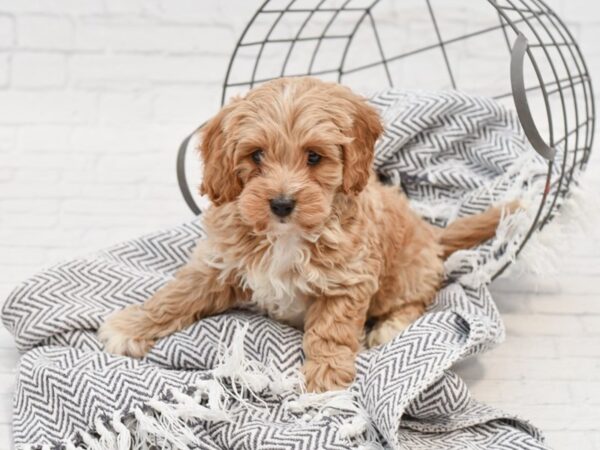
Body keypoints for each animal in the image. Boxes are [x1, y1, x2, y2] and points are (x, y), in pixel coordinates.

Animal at [101, 75, 512, 392]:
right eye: (256, 155)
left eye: (314, 157)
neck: (287, 236)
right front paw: (131, 326)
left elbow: (331, 331)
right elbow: (175, 296)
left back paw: (390, 326)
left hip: (408, 273)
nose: (282, 203)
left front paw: (325, 378)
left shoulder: (347, 281)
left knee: (418, 298)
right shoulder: (218, 262)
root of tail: (431, 233)